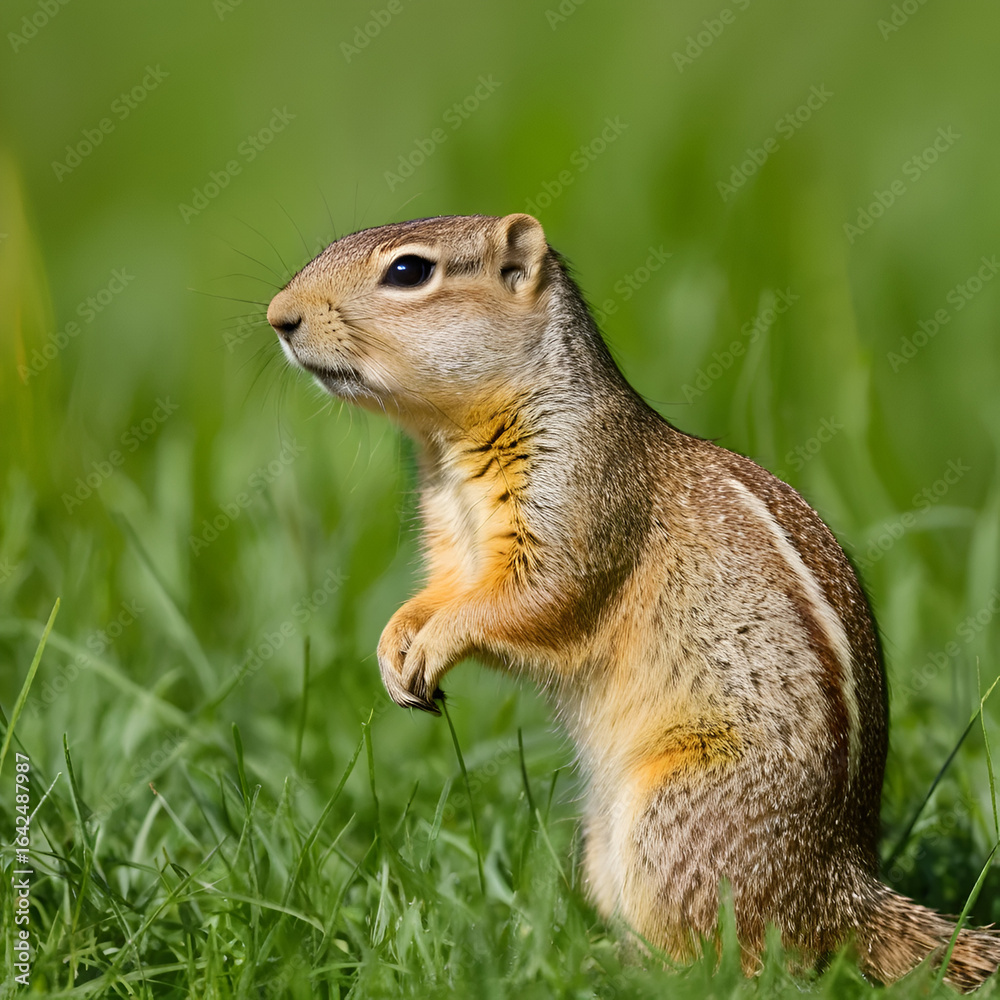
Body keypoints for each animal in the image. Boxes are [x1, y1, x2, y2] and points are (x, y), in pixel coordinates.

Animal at [267, 213, 1000, 990]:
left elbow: (533, 599)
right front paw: (394, 644)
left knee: (739, 962)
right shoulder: (450, 545)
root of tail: (842, 891)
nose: (278, 316)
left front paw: (437, 644)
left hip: (675, 820)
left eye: (408, 271)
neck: (451, 447)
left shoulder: (580, 505)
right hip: (603, 843)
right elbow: (436, 595)